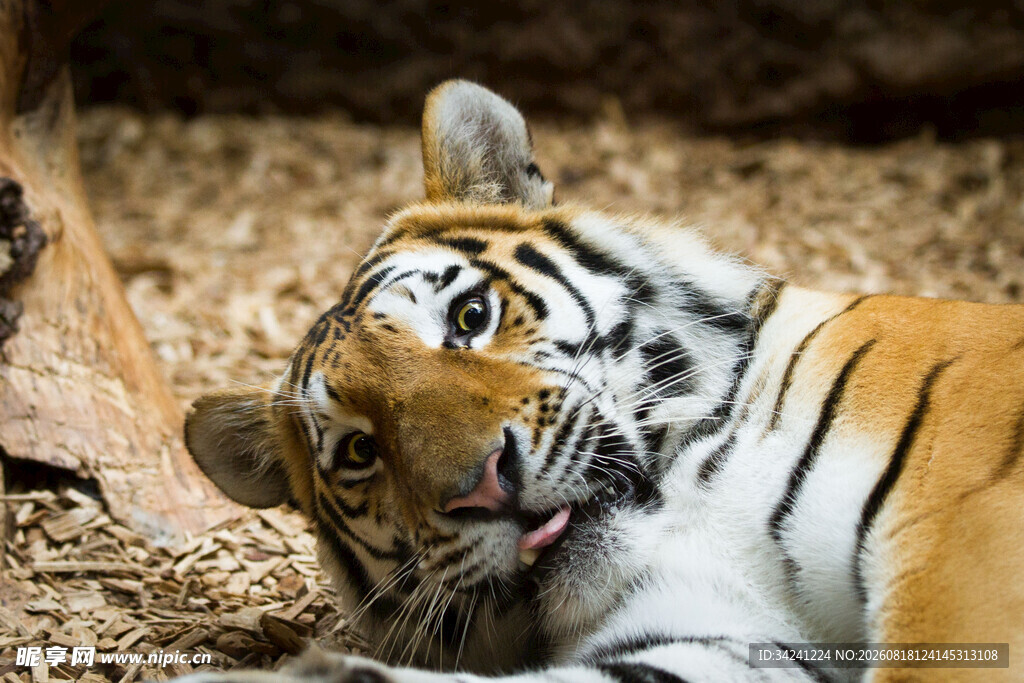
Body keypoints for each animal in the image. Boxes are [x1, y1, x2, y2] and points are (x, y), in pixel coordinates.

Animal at [180, 80, 1024, 683]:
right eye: (360, 451)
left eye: (470, 316)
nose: (486, 485)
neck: (688, 502)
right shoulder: (721, 629)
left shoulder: (960, 548)